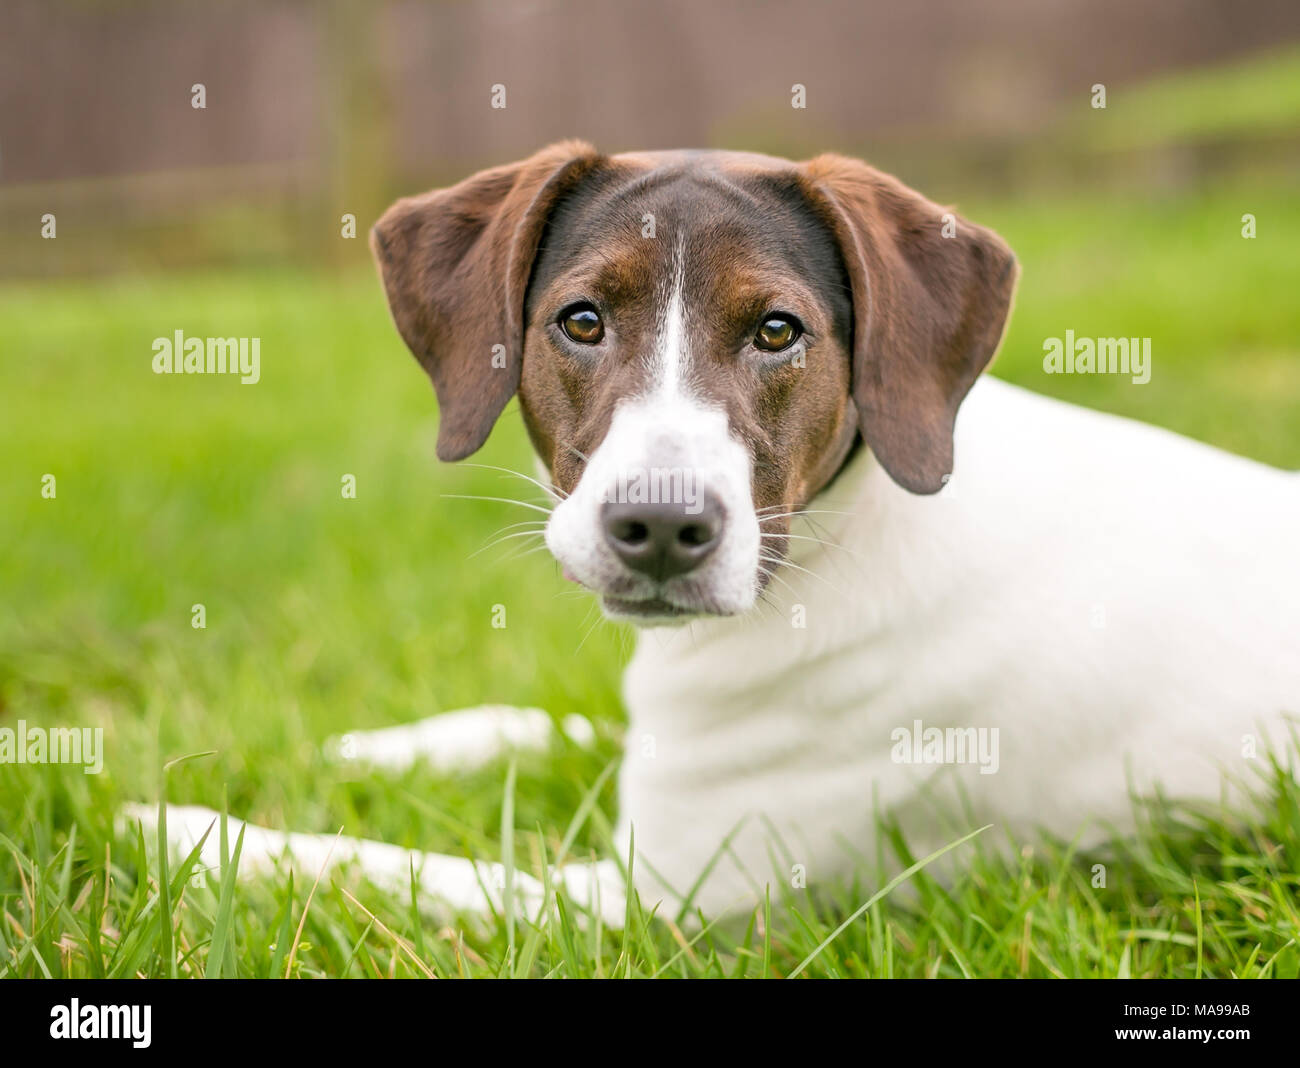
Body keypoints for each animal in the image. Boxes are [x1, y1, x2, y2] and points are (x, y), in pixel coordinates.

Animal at [129, 144, 1300, 930]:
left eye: (777, 330)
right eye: (582, 320)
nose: (657, 527)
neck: (833, 535)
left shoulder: (649, 903)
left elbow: (375, 866)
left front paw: (182, 831)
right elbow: (539, 720)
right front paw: (361, 747)